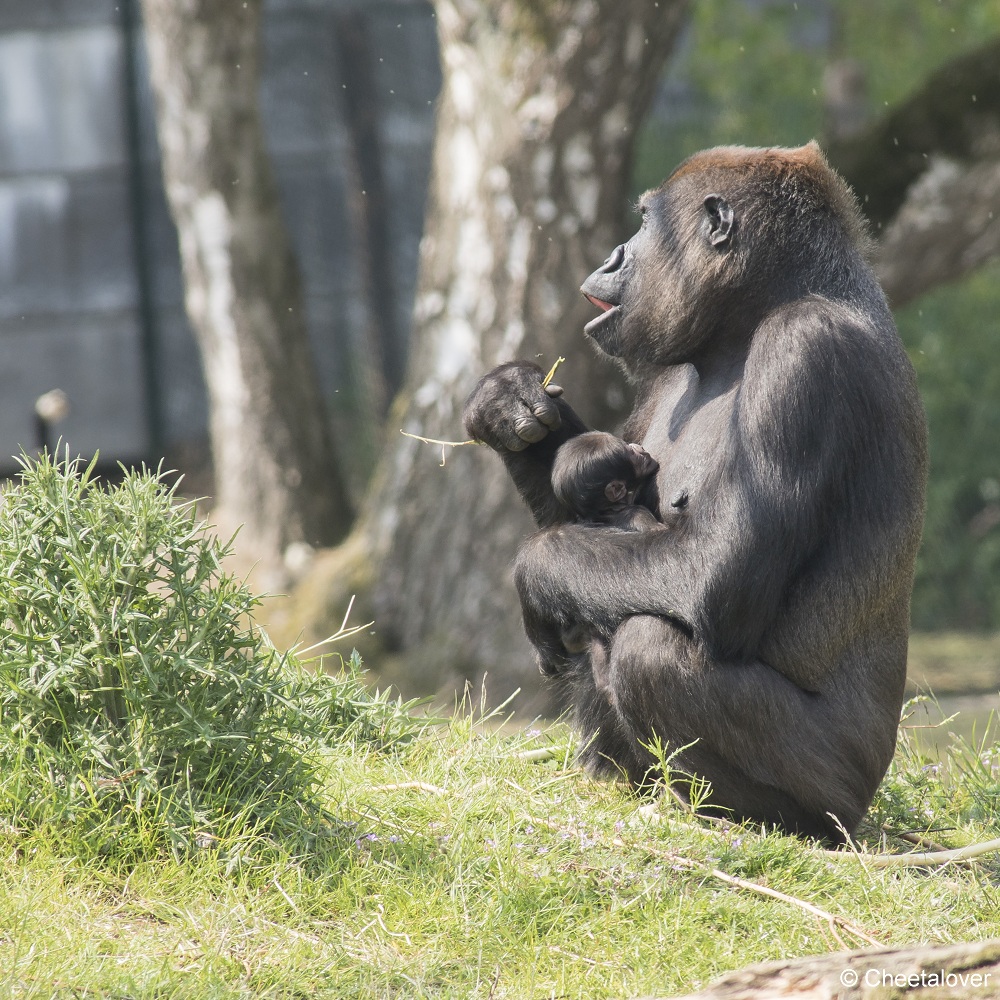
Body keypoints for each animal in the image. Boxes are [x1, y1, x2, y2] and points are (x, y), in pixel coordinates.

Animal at [464, 143, 924, 844]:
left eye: (644, 222)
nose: (614, 256)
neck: (749, 321)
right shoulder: (662, 362)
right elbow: (578, 503)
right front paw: (507, 400)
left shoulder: (804, 351)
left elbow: (713, 575)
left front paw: (531, 570)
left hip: (843, 789)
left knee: (648, 648)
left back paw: (752, 817)